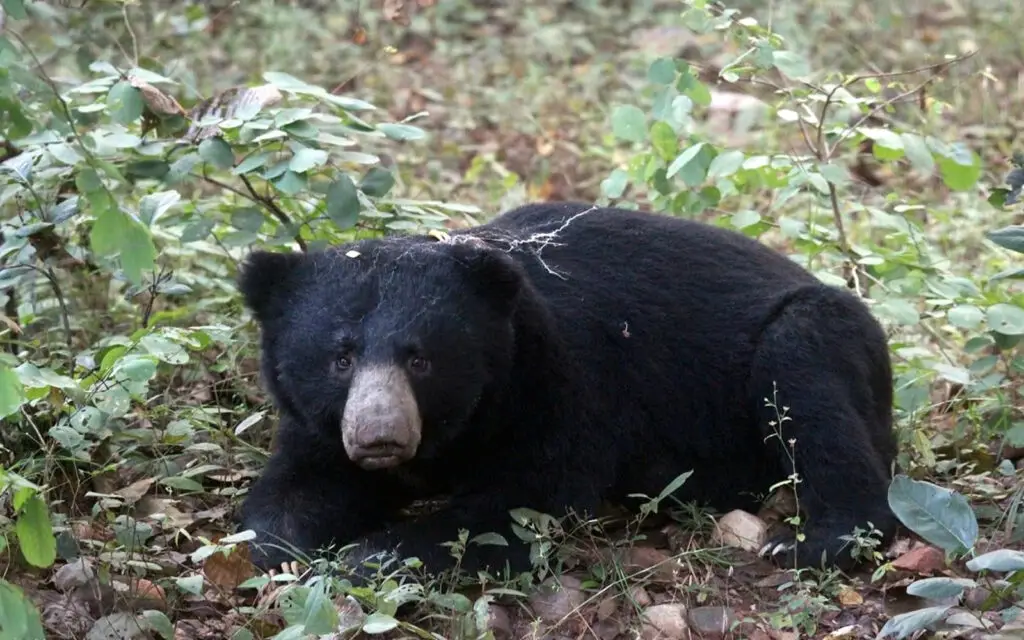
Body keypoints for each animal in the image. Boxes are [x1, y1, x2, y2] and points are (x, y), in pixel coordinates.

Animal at [235, 201, 898, 579]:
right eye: (340, 358)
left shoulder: (556, 382)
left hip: (821, 337)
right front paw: (288, 548)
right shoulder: (315, 420)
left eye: (419, 359)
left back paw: (810, 545)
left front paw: (371, 556)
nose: (379, 438)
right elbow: (300, 487)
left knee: (807, 388)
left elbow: (522, 503)